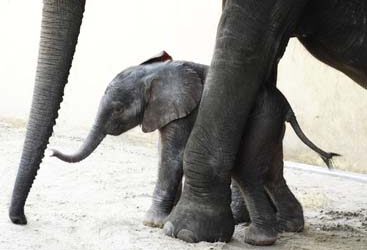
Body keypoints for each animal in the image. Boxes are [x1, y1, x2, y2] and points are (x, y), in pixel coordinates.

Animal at [52, 51, 340, 245]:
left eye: (118, 109)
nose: (53, 151)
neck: (154, 73)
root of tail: (286, 105)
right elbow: (164, 153)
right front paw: (165, 216)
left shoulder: (182, 110)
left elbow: (172, 156)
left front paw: (153, 222)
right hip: (271, 122)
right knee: (272, 173)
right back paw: (289, 226)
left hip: (263, 117)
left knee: (247, 170)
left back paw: (257, 238)